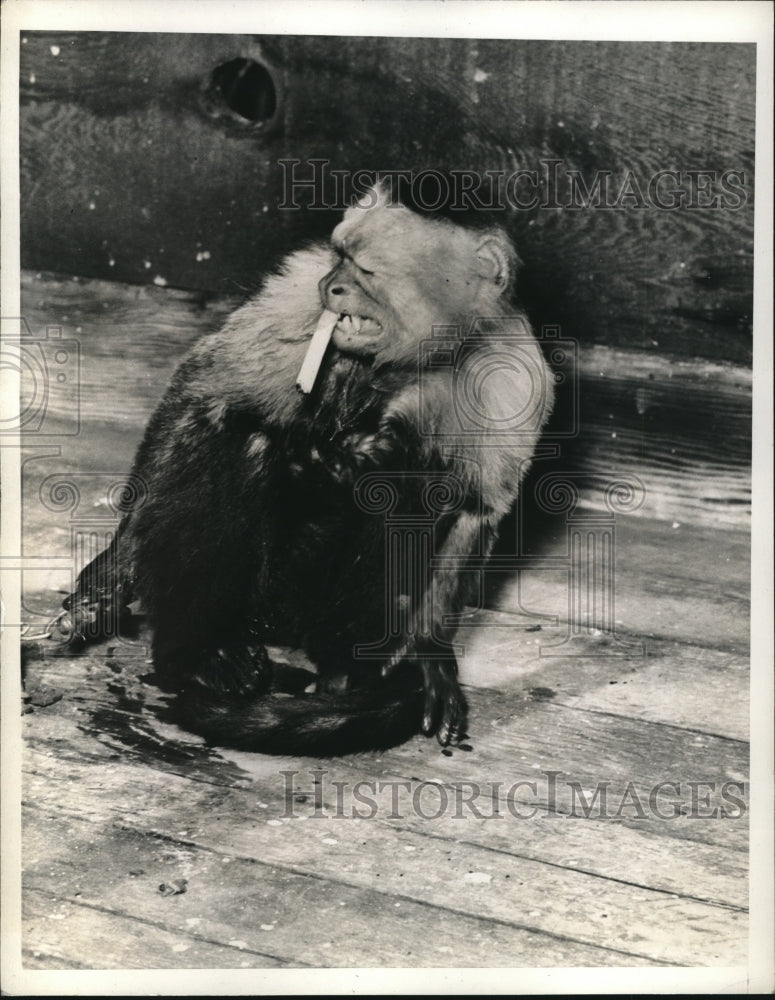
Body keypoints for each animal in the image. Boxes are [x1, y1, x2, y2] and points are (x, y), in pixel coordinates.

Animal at [62, 180, 556, 752]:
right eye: (339, 256)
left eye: (365, 270)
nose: (332, 287)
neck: (422, 355)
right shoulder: (299, 294)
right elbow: (203, 391)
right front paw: (112, 573)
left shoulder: (515, 372)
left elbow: (475, 510)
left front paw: (429, 655)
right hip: (265, 597)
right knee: (243, 435)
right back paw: (202, 652)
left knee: (410, 486)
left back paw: (345, 670)